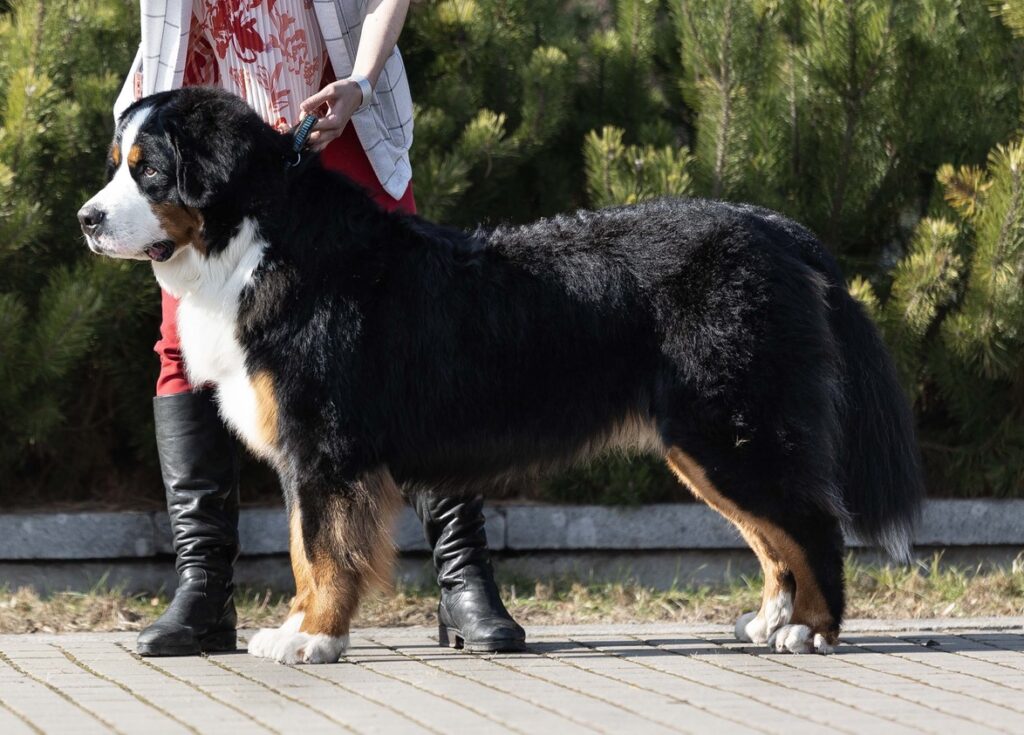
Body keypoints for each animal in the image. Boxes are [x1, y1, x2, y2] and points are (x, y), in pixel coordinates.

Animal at [79, 87, 923, 663]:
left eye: (147, 170)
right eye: (118, 166)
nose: (87, 219)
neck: (259, 238)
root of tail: (771, 226)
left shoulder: (322, 447)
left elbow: (318, 551)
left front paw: (310, 637)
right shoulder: (315, 453)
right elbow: (304, 547)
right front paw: (302, 629)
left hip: (729, 429)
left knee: (809, 523)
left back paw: (808, 629)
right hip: (706, 443)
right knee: (773, 535)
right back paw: (771, 618)